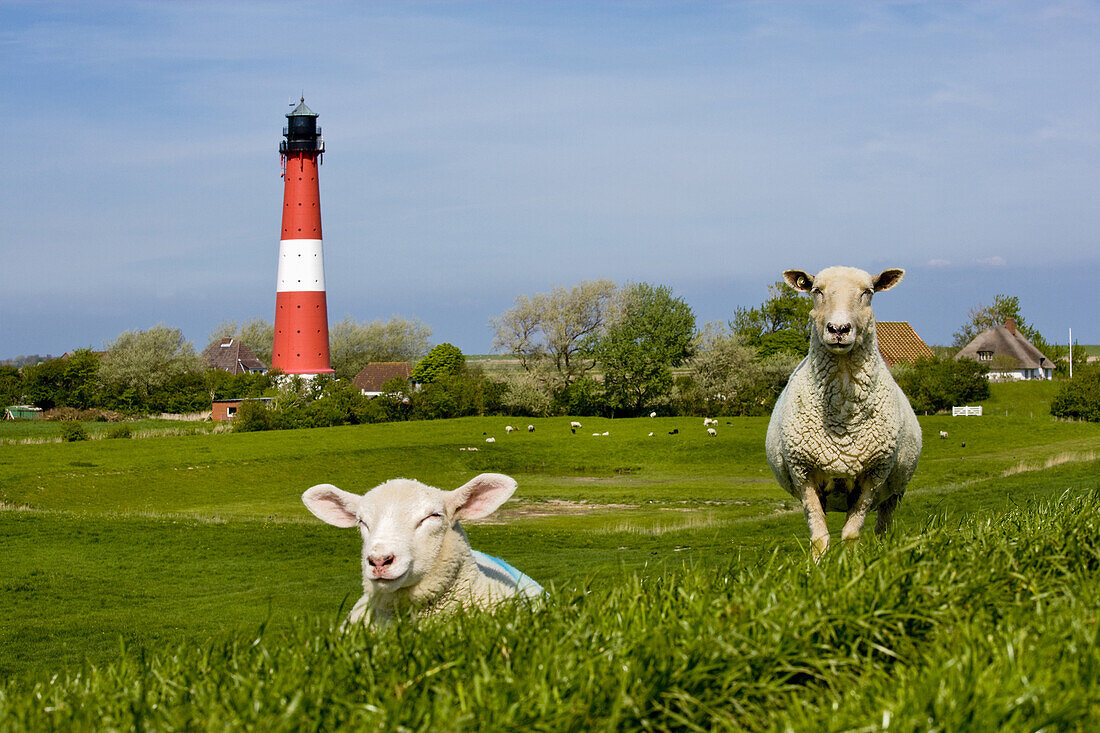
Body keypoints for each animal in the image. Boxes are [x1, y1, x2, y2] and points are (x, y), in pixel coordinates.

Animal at [770, 265, 924, 556]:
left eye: (868, 292)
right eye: (816, 291)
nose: (839, 329)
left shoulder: (874, 475)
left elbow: (851, 534)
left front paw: (850, 563)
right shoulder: (803, 473)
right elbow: (820, 537)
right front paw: (818, 565)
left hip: (896, 490)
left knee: (884, 528)